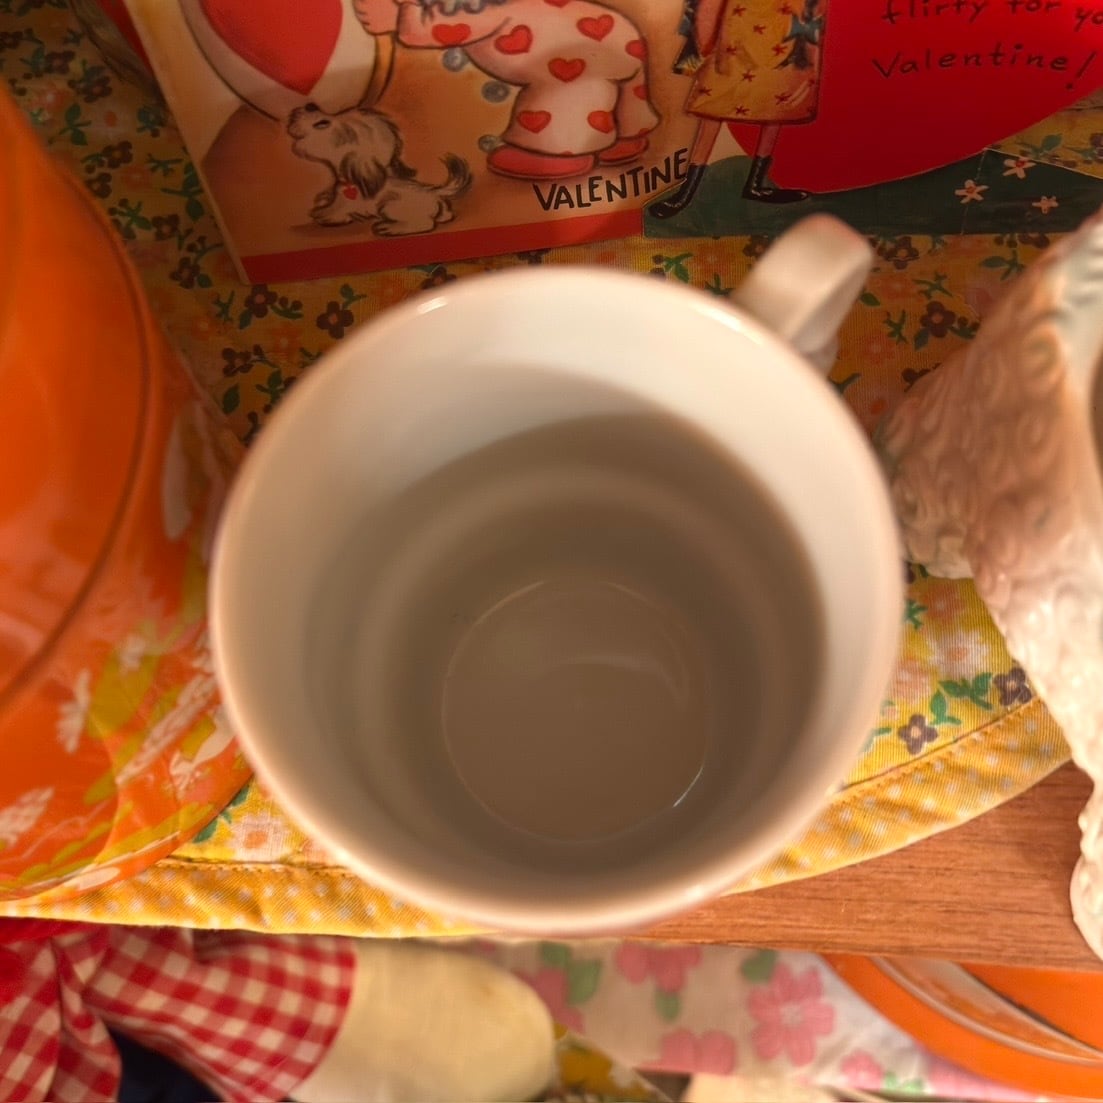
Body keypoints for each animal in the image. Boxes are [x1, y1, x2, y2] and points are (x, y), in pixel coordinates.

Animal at [288, 103, 471, 236]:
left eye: (322, 123)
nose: (310, 105)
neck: (351, 181)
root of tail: (433, 193)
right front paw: (321, 203)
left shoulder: (344, 205)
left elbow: (333, 212)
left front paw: (322, 215)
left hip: (389, 206)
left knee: (425, 223)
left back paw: (389, 228)